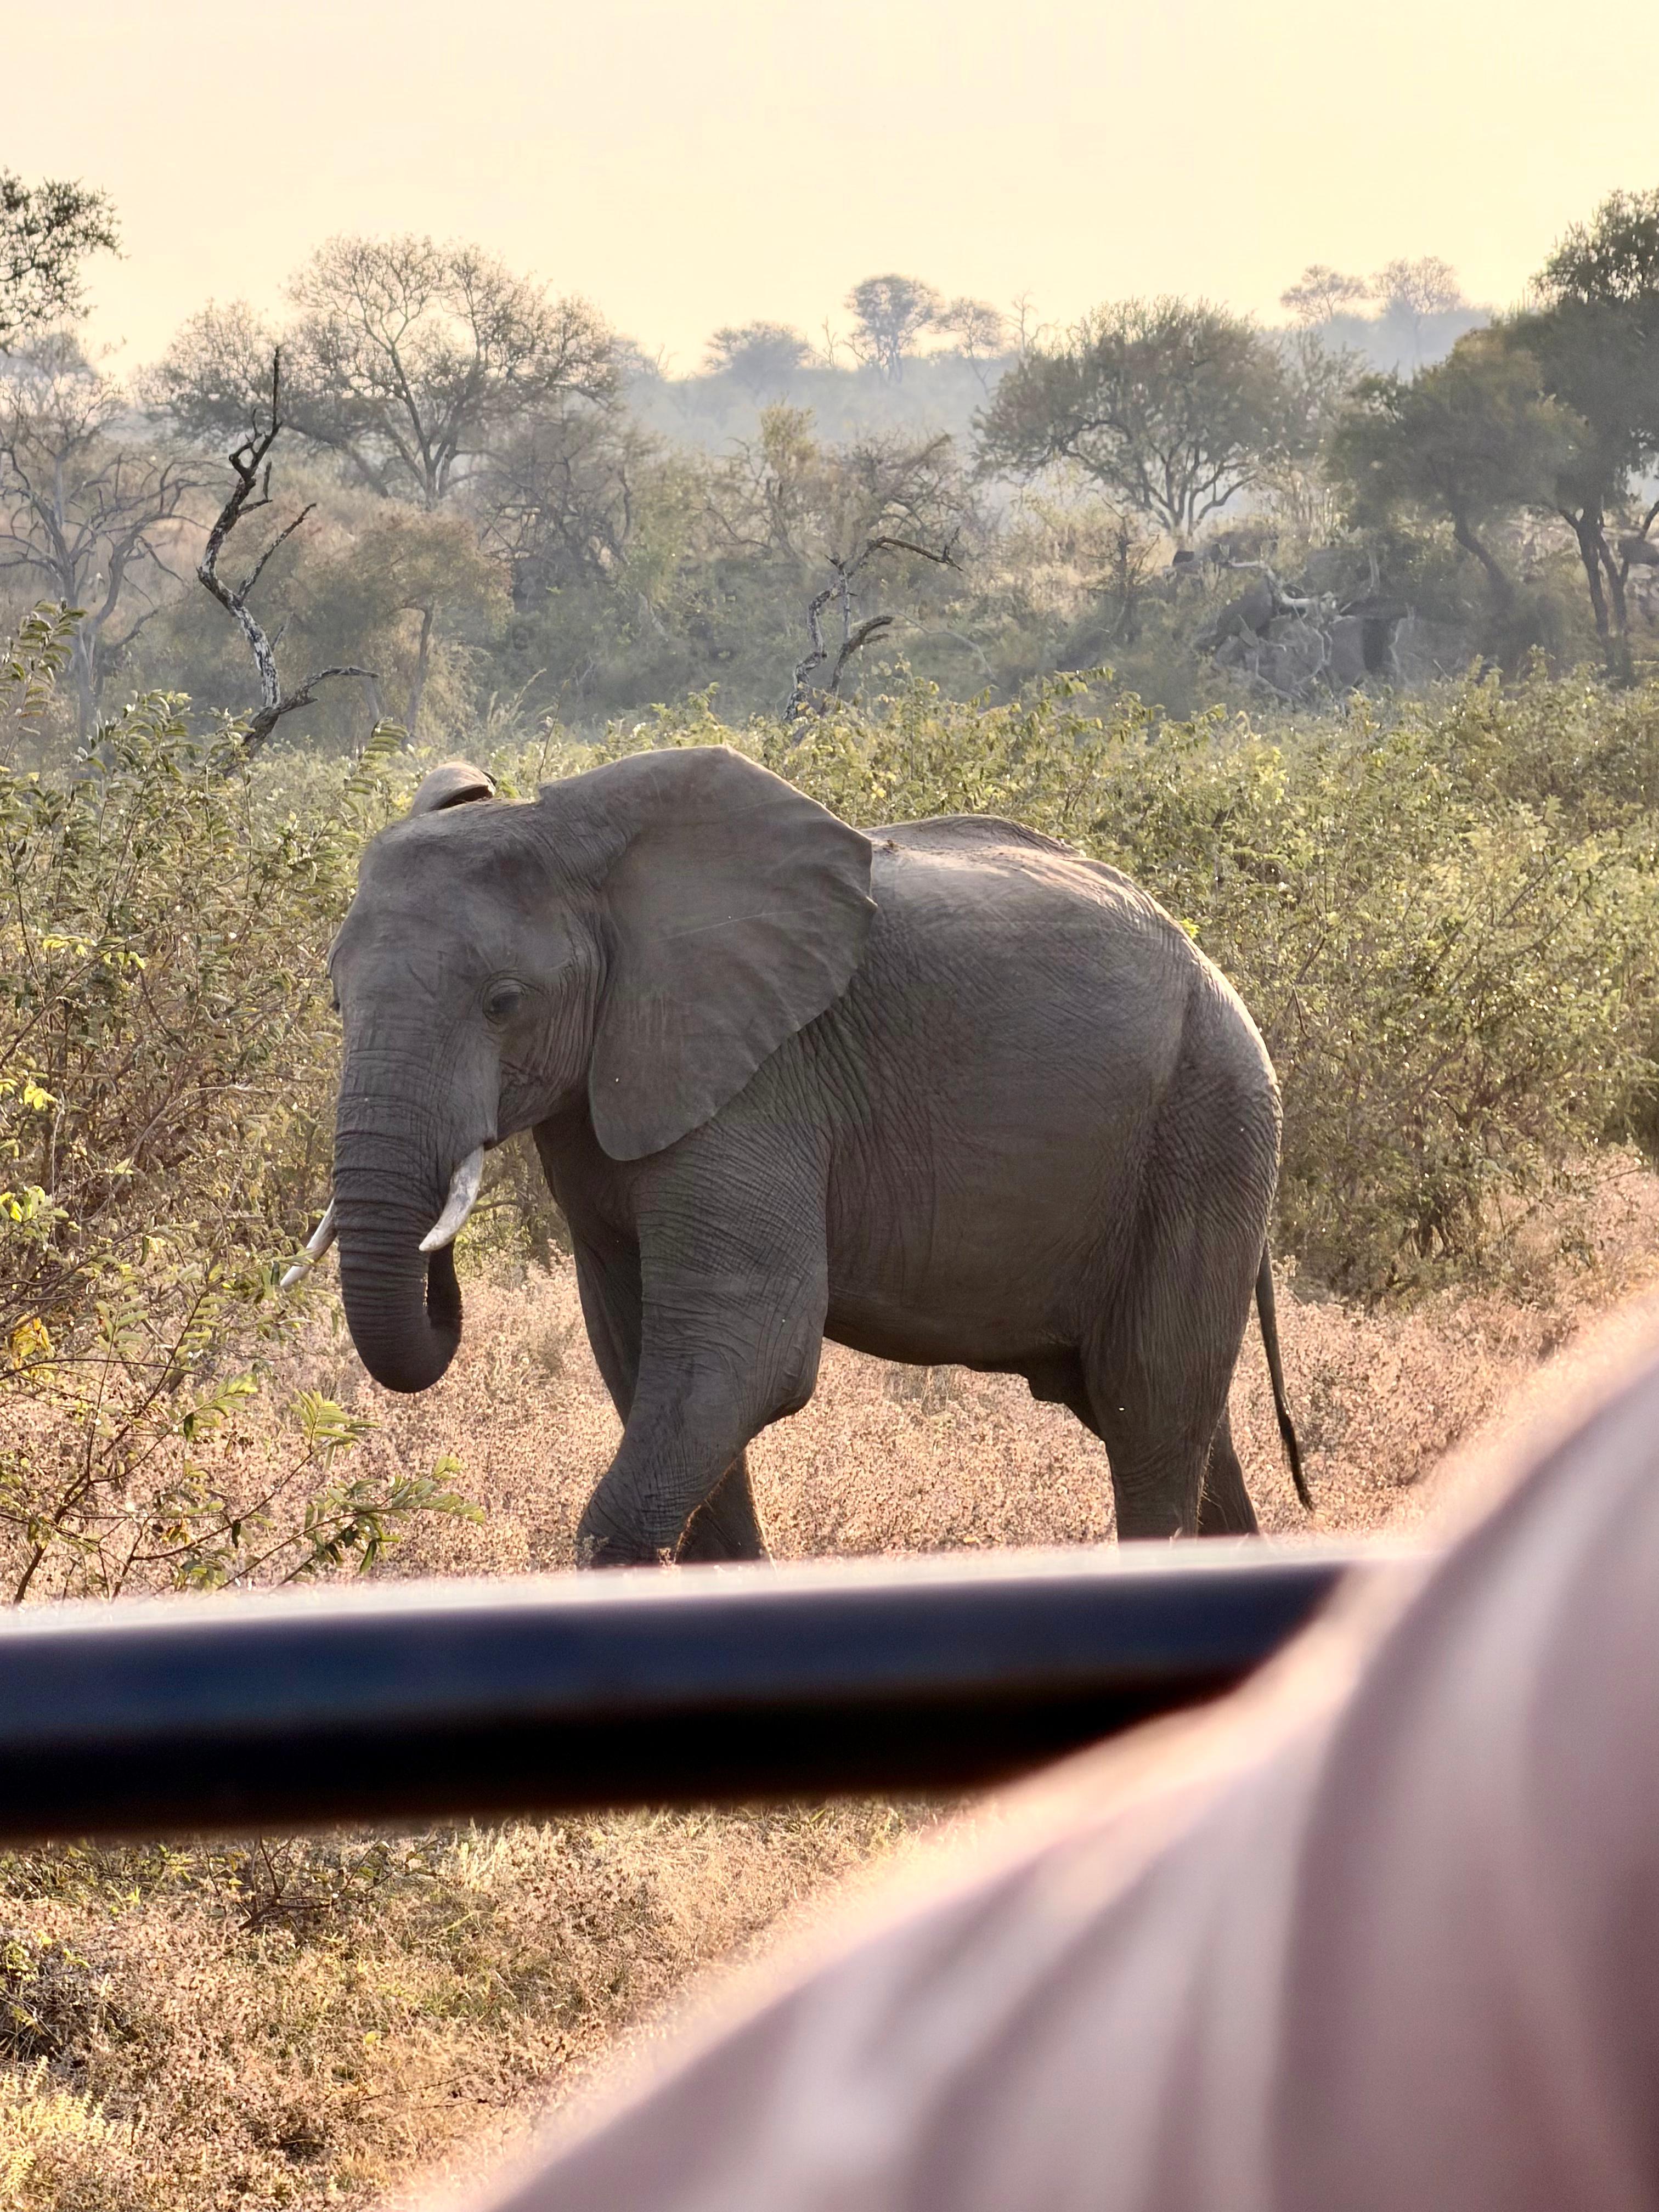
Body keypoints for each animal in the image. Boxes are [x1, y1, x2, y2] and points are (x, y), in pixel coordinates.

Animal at [315, 743, 1306, 1564]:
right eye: (334, 999)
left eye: (504, 1002)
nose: (440, 1255)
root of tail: (1213, 974)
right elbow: (639, 1355)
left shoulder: (762, 1084)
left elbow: (752, 1348)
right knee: (1180, 1419)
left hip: (1208, 1126)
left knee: (1149, 1406)